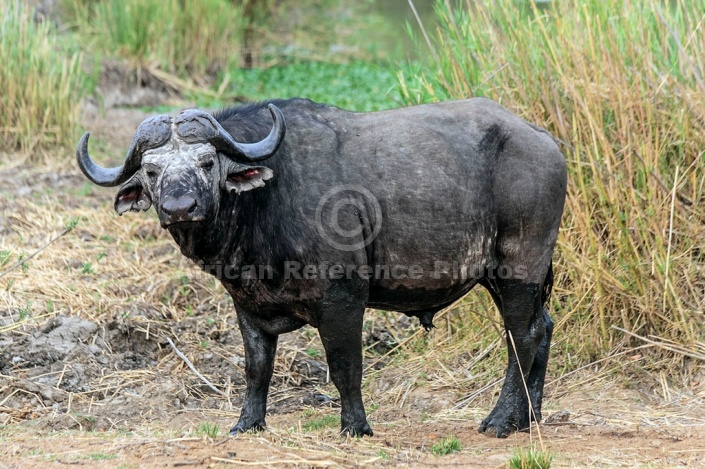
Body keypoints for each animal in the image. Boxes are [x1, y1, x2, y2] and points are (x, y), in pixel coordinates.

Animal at [78, 97, 568, 436]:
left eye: (205, 161)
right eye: (152, 170)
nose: (180, 207)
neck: (268, 200)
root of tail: (544, 140)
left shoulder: (342, 301)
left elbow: (344, 365)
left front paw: (355, 426)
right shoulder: (247, 306)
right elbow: (257, 368)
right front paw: (247, 424)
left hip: (518, 270)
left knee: (522, 337)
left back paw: (501, 420)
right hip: (507, 280)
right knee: (543, 329)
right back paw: (530, 418)